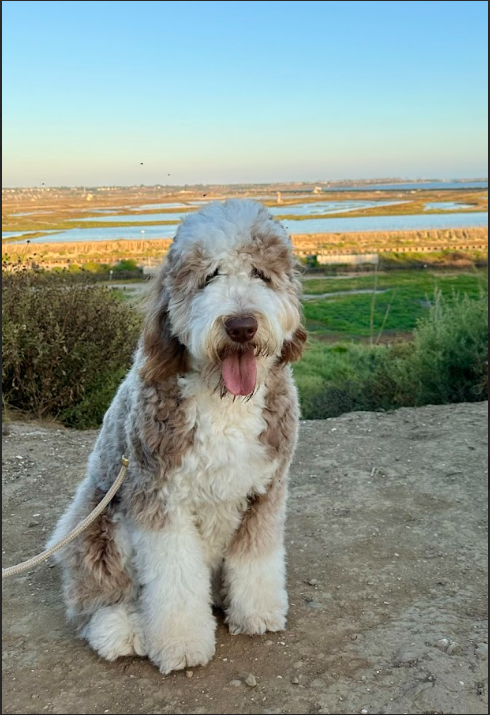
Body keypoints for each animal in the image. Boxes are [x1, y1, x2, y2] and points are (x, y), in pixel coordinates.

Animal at [47, 199, 306, 676]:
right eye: (209, 277)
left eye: (260, 273)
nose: (241, 325)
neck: (224, 401)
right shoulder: (158, 494)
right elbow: (173, 579)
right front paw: (181, 643)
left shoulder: (266, 490)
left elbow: (256, 558)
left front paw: (257, 613)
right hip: (101, 522)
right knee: (94, 594)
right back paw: (121, 627)